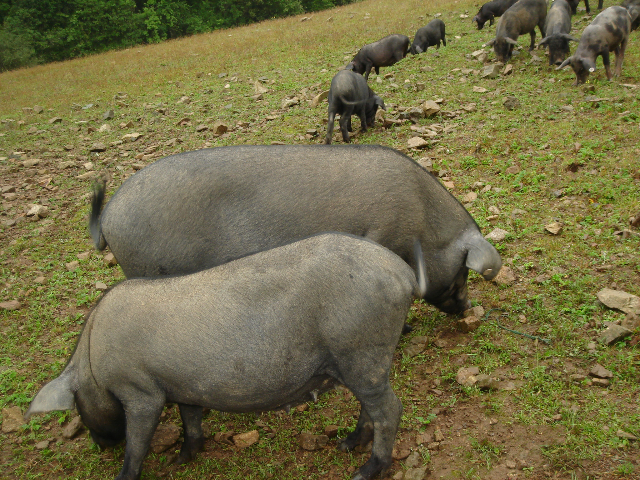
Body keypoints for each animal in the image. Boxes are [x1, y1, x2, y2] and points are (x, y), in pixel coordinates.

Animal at [25, 234, 424, 480]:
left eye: (77, 407)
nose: (101, 445)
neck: (92, 360)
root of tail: (403, 272)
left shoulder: (141, 392)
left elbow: (138, 444)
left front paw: (131, 471)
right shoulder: (181, 387)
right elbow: (190, 419)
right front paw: (181, 458)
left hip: (361, 351)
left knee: (390, 410)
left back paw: (365, 470)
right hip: (362, 363)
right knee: (371, 409)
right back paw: (346, 443)